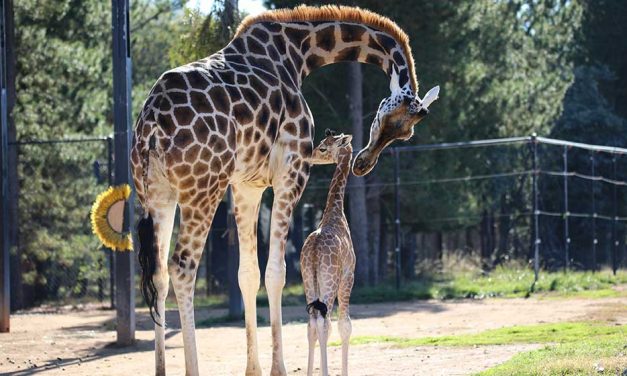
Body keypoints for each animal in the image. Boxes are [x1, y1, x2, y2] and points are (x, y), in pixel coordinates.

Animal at [130, 4, 440, 374]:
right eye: (389, 118)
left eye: (405, 133)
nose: (363, 163)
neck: (299, 52)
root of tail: (150, 123)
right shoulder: (291, 171)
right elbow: (277, 272)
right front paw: (277, 367)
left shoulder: (246, 185)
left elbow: (248, 274)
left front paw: (254, 368)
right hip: (203, 188)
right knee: (182, 267)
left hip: (157, 194)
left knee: (159, 273)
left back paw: (160, 368)